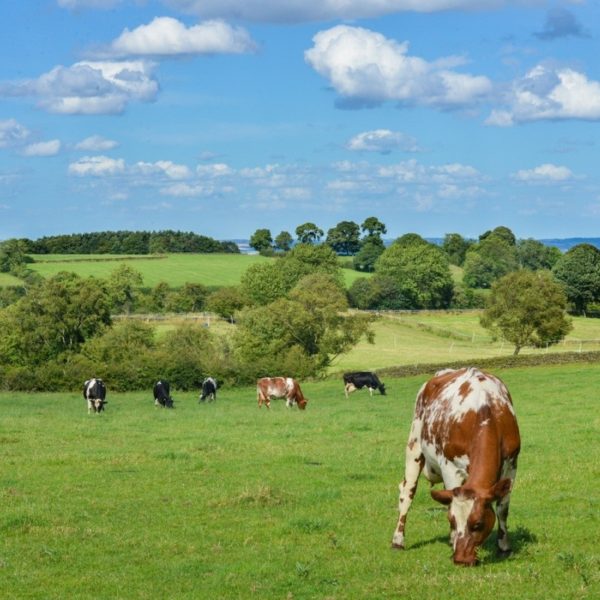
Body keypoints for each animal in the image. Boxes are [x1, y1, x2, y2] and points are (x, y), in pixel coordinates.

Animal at [392, 366, 516, 568]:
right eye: (451, 521)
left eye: (478, 524)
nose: (461, 560)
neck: (485, 411)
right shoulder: (450, 467)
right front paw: (453, 540)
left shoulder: (512, 465)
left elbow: (502, 509)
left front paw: (504, 546)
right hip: (414, 446)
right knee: (407, 493)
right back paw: (398, 540)